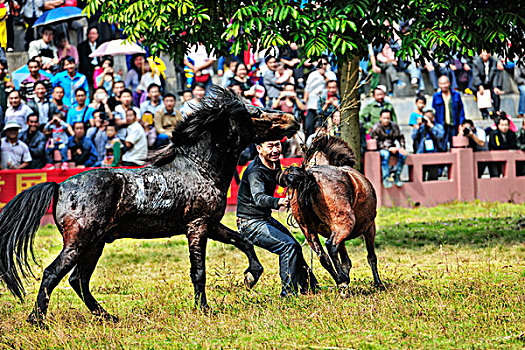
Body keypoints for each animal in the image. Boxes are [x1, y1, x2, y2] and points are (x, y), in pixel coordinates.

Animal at [0, 86, 298, 324]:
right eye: (257, 112)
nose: (293, 119)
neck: (200, 167)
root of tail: (60, 186)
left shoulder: (211, 225)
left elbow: (243, 241)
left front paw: (251, 276)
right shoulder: (197, 226)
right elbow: (199, 272)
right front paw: (204, 309)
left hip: (95, 243)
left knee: (78, 280)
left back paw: (107, 316)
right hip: (79, 241)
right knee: (53, 274)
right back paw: (38, 321)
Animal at [278, 136, 384, 290]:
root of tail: (310, 176)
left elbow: (345, 260)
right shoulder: (370, 227)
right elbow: (371, 257)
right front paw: (378, 283)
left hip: (309, 231)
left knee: (323, 256)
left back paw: (340, 280)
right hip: (345, 223)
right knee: (331, 245)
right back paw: (342, 279)